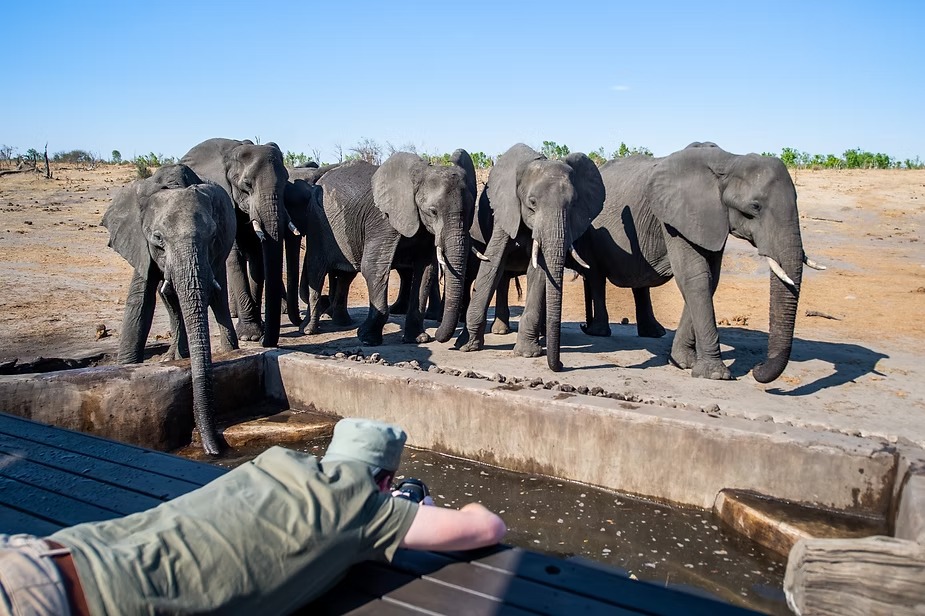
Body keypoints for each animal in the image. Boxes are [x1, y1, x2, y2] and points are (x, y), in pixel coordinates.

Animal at [101, 164, 238, 455]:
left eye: (211, 236)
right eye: (158, 240)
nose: (216, 450)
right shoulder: (139, 241)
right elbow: (141, 299)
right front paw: (127, 366)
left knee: (217, 295)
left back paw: (230, 350)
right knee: (169, 298)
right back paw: (175, 356)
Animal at [180, 138, 292, 348]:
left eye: (285, 182)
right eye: (247, 184)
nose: (266, 342)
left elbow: (257, 261)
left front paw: (257, 331)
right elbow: (234, 260)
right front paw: (250, 336)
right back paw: (234, 313)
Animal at [295, 150, 476, 346]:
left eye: (470, 211)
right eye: (433, 211)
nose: (439, 335)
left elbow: (426, 271)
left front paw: (418, 339)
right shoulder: (383, 220)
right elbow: (373, 267)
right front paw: (367, 339)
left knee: (345, 275)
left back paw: (342, 323)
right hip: (317, 222)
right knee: (316, 269)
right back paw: (308, 330)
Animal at [456, 143, 605, 372]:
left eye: (573, 204)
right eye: (532, 203)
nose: (561, 364)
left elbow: (540, 271)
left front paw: (527, 353)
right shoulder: (505, 211)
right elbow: (492, 264)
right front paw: (466, 346)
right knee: (501, 276)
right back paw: (500, 331)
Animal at [575, 142, 824, 382]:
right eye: (755, 207)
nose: (757, 368)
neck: (730, 161)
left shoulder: (712, 219)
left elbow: (708, 279)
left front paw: (681, 362)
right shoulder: (676, 218)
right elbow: (694, 277)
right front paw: (714, 375)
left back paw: (653, 332)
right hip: (588, 231)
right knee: (596, 275)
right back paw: (597, 332)